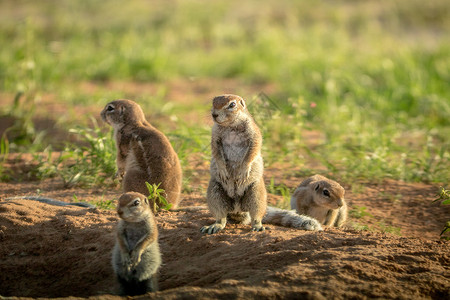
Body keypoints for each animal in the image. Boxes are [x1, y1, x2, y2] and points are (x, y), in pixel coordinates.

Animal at [201, 94, 324, 234]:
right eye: (213, 102)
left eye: (232, 105)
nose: (214, 114)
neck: (230, 126)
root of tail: (238, 208)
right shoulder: (215, 136)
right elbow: (216, 153)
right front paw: (223, 170)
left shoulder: (254, 133)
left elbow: (253, 150)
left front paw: (244, 170)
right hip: (215, 192)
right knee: (221, 216)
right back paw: (215, 226)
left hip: (256, 193)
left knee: (256, 214)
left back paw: (257, 226)